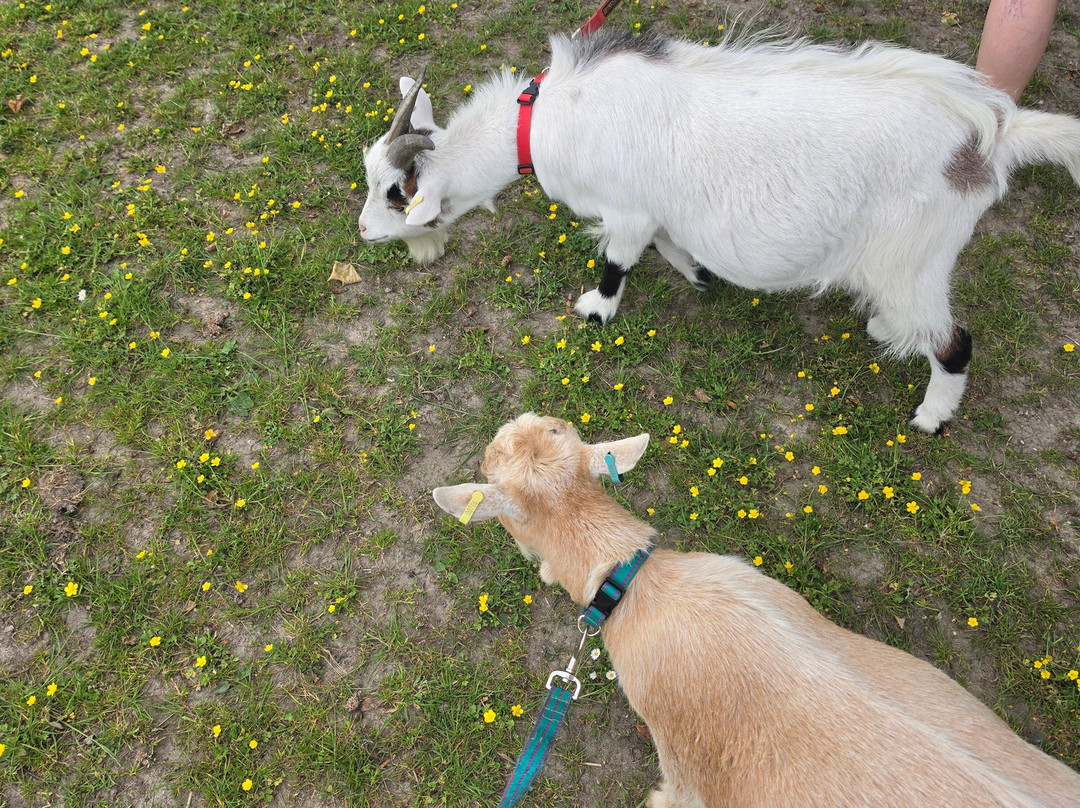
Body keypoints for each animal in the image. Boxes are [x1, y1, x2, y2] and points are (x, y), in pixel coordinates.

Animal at [359, 29, 1080, 433]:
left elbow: (618, 261)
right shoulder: (653, 210)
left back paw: (931, 416)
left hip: (912, 254)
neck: (543, 120)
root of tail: (988, 140)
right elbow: (666, 244)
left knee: (954, 343)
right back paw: (883, 328)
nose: (363, 232)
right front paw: (699, 273)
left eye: (398, 193)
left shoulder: (626, 207)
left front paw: (596, 310)